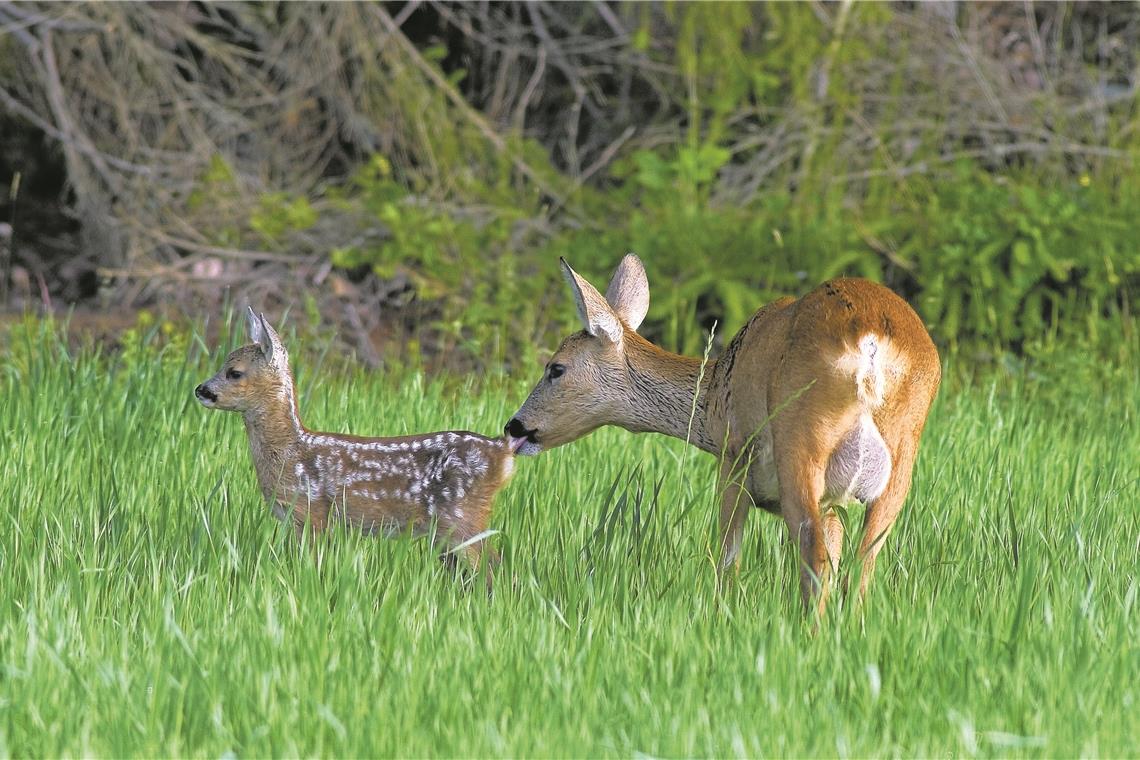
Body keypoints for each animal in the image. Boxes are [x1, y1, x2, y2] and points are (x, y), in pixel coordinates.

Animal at [508, 257, 943, 619]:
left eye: (556, 368)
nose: (515, 426)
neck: (714, 394)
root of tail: (870, 342)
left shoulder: (734, 459)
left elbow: (728, 556)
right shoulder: (834, 501)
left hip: (801, 438)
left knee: (813, 554)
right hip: (900, 454)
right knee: (862, 563)